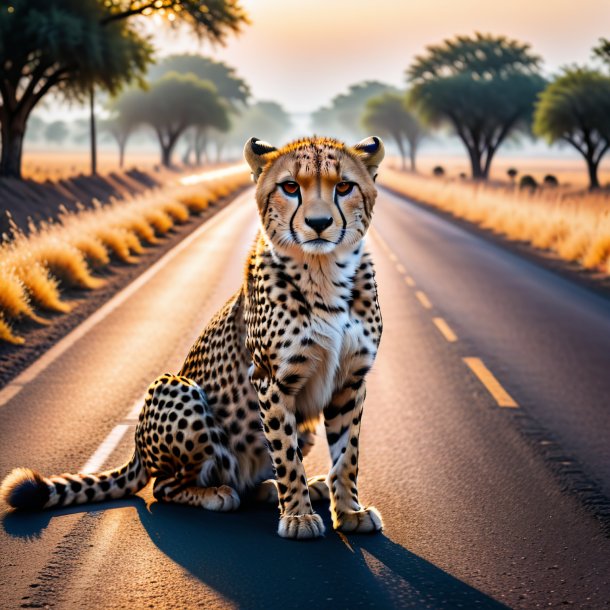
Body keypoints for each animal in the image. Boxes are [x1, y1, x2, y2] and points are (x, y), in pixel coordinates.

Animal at [1, 134, 384, 536]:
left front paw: (349, 512)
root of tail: (137, 452)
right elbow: (286, 455)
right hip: (176, 387)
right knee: (166, 486)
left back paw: (288, 487)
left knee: (248, 477)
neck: (325, 272)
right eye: (290, 187)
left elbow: (347, 453)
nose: (319, 223)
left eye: (344, 187)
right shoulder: (270, 380)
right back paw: (220, 494)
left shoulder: (351, 380)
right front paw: (298, 516)